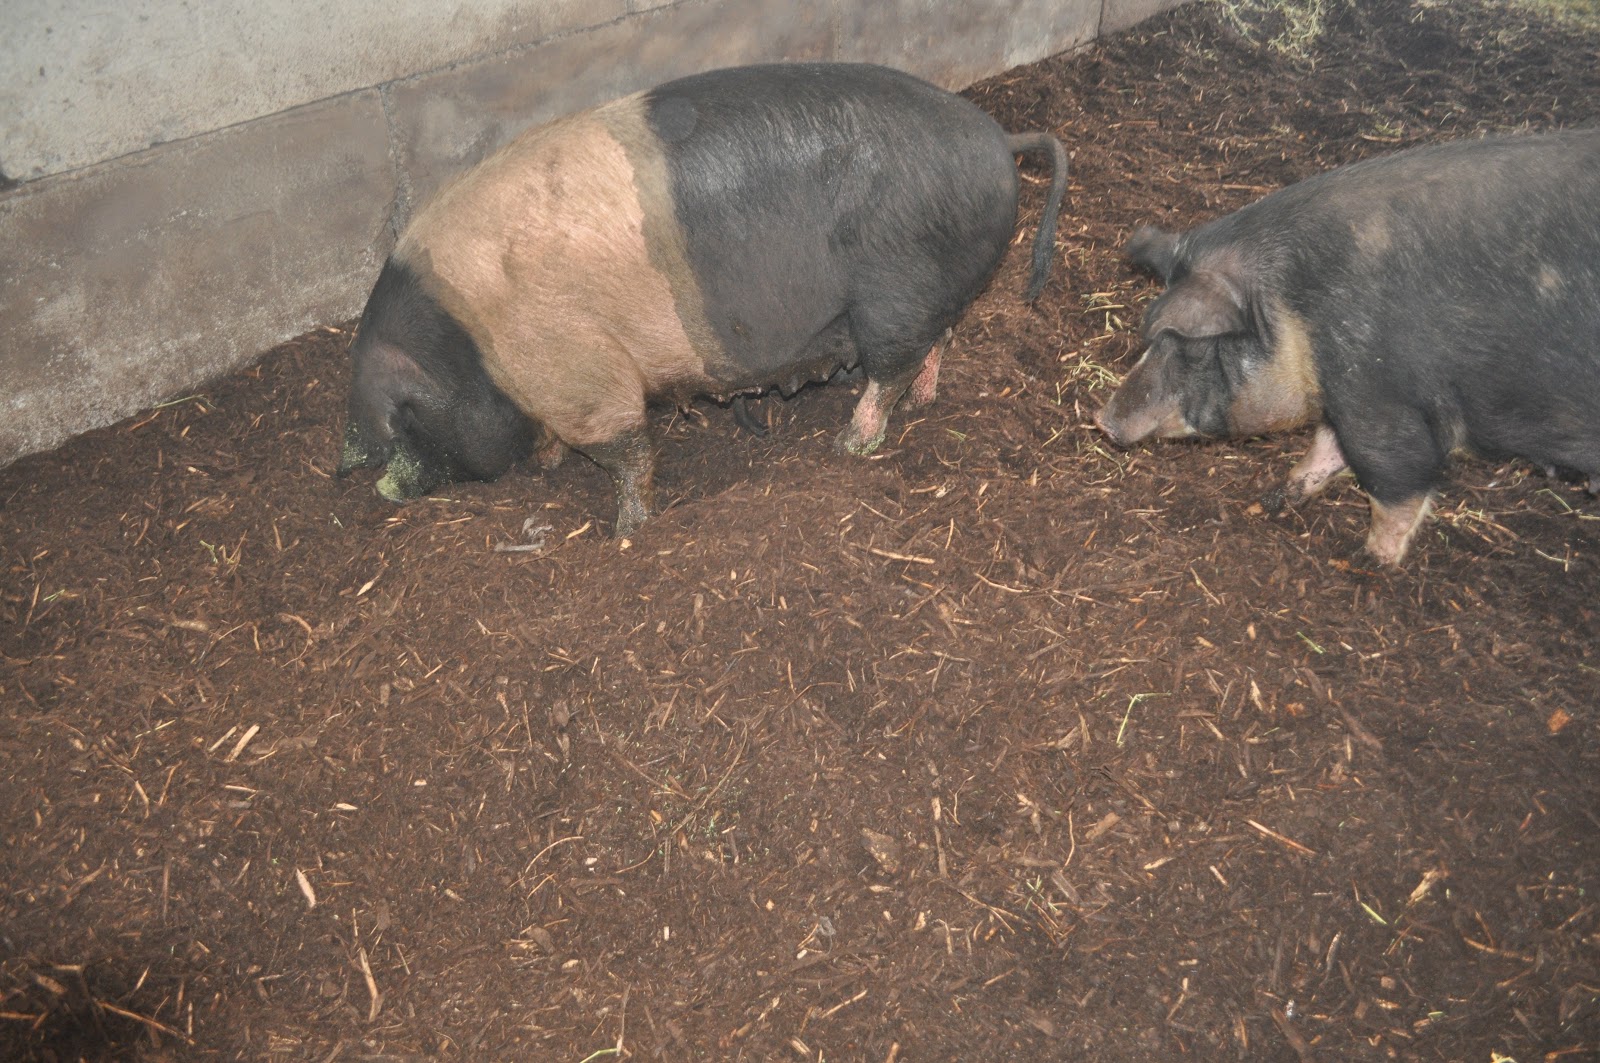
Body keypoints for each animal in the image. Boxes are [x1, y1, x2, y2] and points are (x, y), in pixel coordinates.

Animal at [337, 62, 1069, 537]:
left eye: (403, 425)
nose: (375, 484)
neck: (468, 345)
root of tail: (1000, 138)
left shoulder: (579, 370)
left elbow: (628, 448)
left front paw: (627, 531)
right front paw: (550, 465)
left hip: (895, 288)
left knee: (892, 364)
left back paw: (849, 446)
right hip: (930, 285)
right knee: (937, 340)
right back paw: (921, 403)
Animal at [1094, 126, 1600, 566]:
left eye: (1190, 346)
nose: (1102, 421)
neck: (1297, 309)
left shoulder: (1376, 396)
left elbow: (1393, 475)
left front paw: (1369, 560)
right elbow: (1326, 444)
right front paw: (1274, 498)